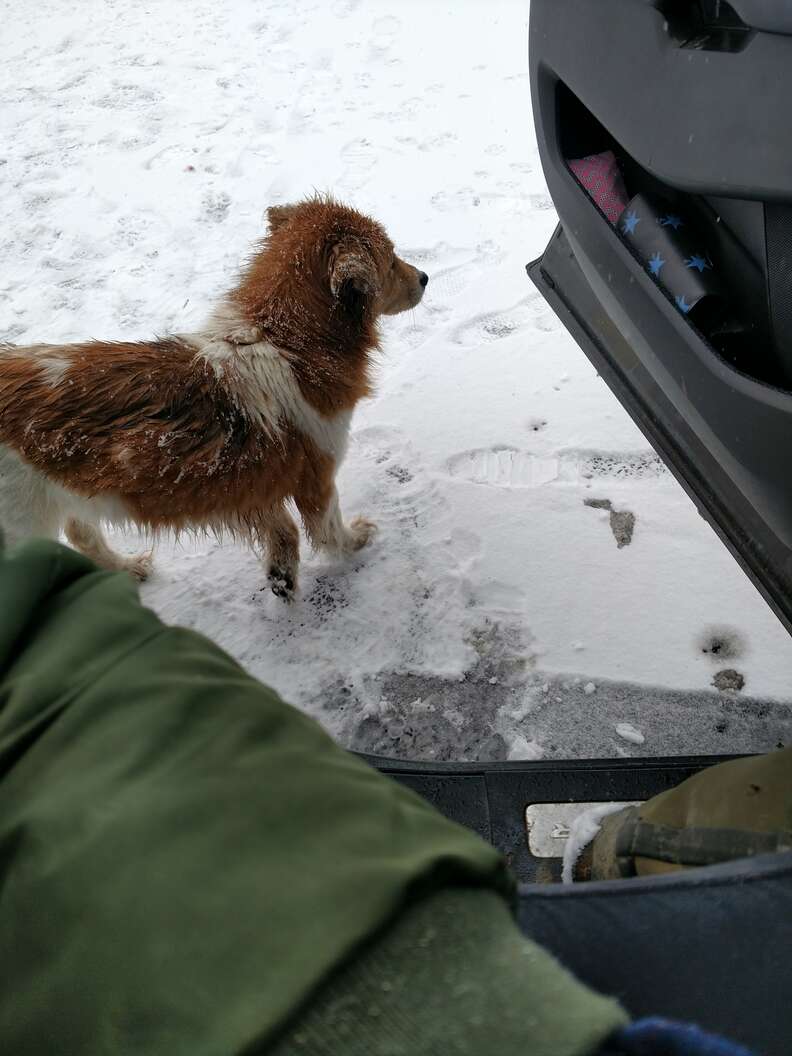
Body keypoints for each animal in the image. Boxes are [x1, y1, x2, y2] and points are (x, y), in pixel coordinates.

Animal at [0, 196, 430, 595]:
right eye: (391, 260)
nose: (425, 277)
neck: (286, 340)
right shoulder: (317, 480)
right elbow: (329, 531)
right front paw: (356, 541)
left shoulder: (255, 484)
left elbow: (280, 527)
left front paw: (281, 573)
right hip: (25, 520)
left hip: (69, 493)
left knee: (80, 532)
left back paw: (126, 568)